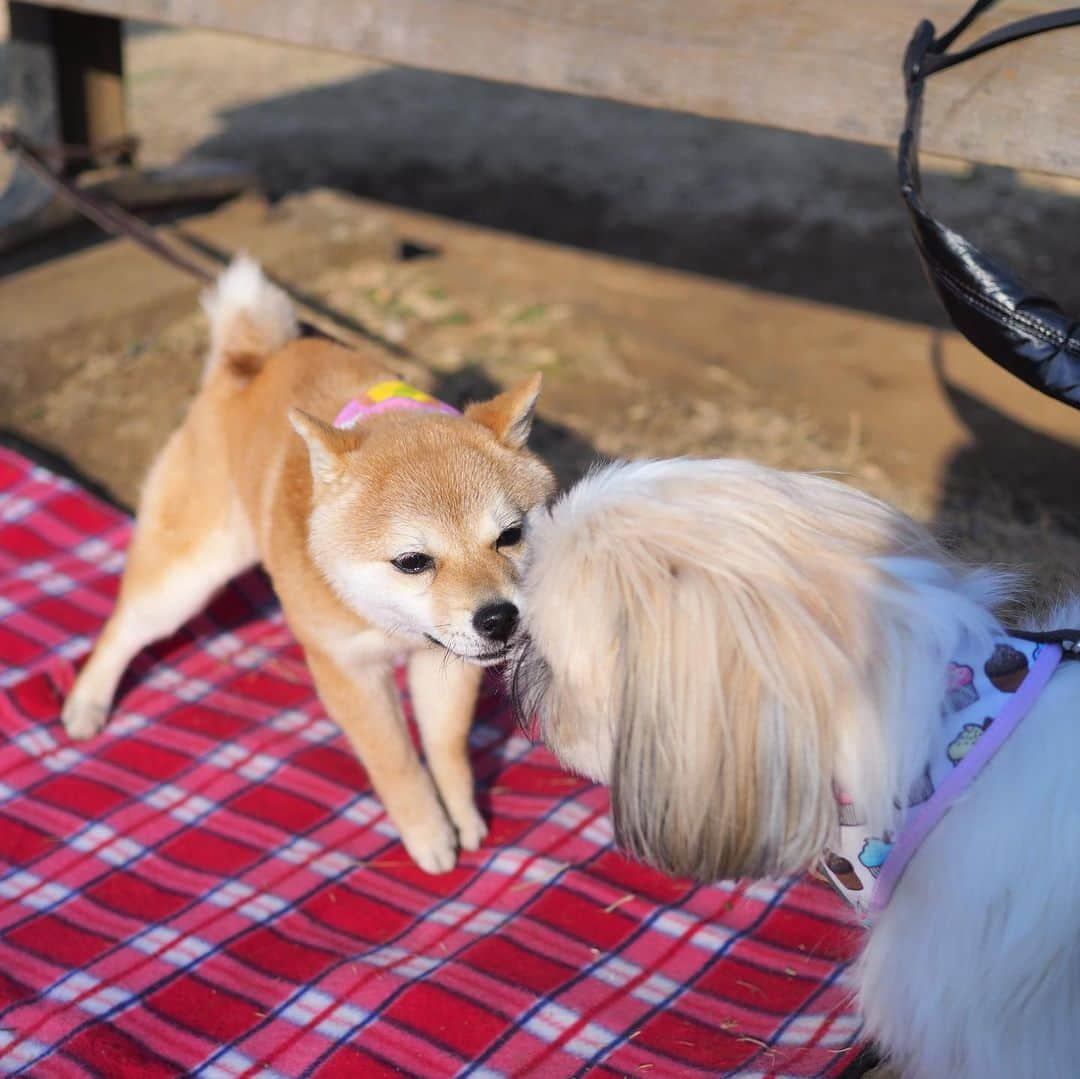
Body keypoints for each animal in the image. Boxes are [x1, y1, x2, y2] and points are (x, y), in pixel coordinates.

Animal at [65, 257, 557, 872]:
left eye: (509, 536)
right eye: (412, 561)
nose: (499, 619)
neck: (382, 622)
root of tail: (247, 365)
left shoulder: (445, 660)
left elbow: (446, 749)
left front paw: (462, 816)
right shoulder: (347, 671)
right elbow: (396, 763)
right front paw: (427, 834)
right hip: (186, 580)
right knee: (125, 625)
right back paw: (86, 702)